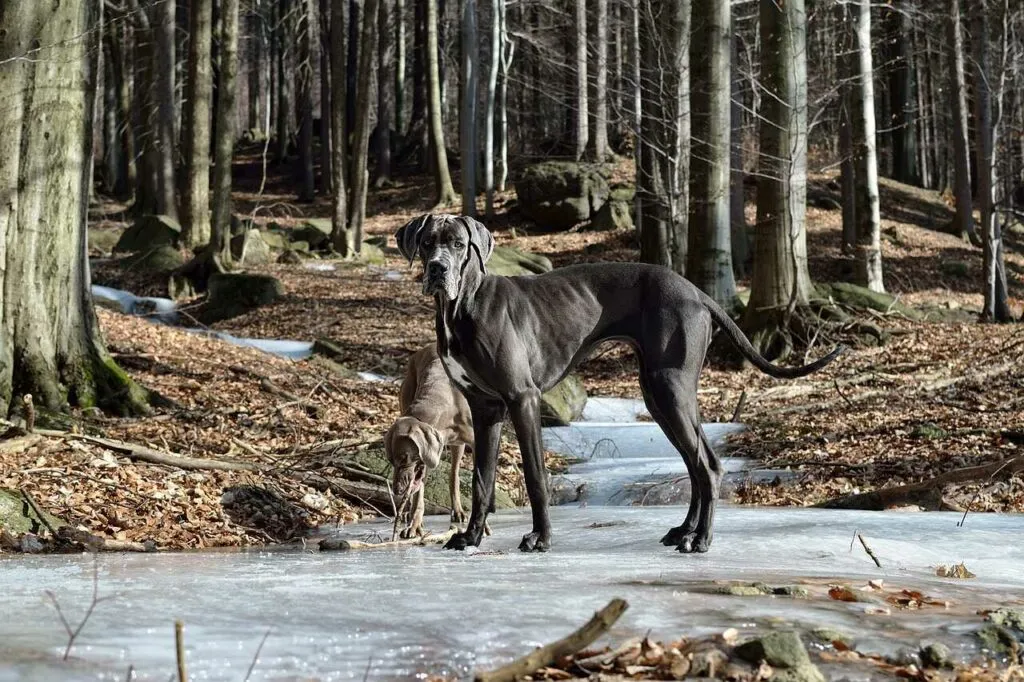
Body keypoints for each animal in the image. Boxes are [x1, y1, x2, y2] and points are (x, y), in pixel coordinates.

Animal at [385, 346, 473, 536]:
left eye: (404, 458)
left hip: (457, 446)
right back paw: (408, 515)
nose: (397, 490)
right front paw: (414, 525)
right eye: (391, 461)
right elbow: (419, 494)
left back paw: (458, 511)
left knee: (454, 475)